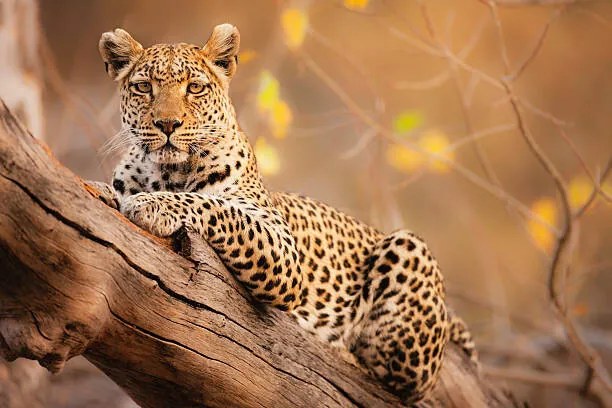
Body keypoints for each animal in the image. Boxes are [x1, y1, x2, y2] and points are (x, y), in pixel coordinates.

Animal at [89, 25, 478, 404]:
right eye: (143, 87)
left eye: (194, 88)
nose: (167, 124)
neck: (167, 172)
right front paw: (107, 192)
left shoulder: (281, 249)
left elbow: (215, 207)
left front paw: (152, 204)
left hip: (409, 249)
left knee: (403, 382)